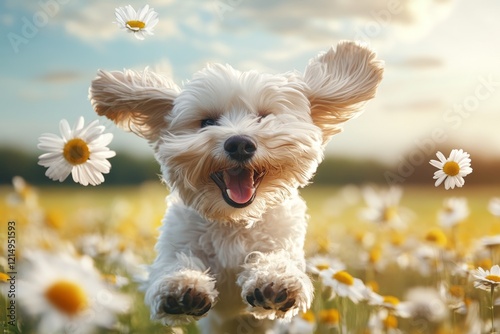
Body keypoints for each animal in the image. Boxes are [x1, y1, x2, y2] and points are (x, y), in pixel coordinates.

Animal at [88, 41, 382, 334]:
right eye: (207, 122)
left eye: (263, 118)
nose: (239, 143)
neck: (234, 220)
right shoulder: (177, 242)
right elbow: (175, 264)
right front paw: (183, 285)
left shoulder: (283, 241)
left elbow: (277, 259)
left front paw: (276, 281)